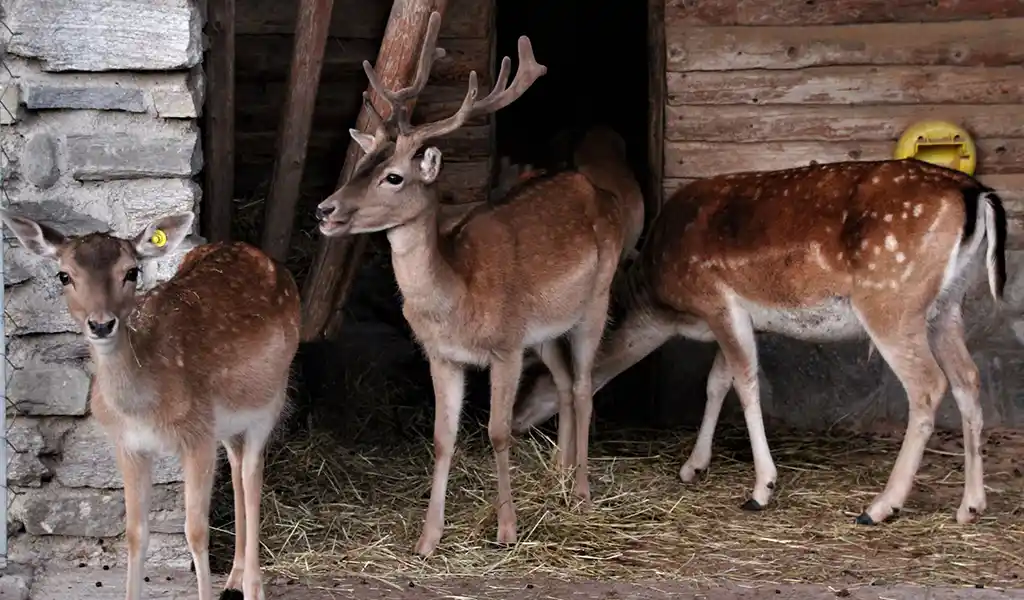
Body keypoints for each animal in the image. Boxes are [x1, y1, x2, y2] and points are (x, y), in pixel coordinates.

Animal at [0, 210, 301, 600]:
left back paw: (253, 587)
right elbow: (135, 533)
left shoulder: (198, 435)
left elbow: (196, 531)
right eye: (64, 275)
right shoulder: (128, 445)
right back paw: (233, 579)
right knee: (237, 468)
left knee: (252, 473)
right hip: (229, 424)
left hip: (271, 399)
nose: (101, 324)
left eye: (131, 272)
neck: (143, 409)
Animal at [313, 11, 644, 556]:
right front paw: (427, 539)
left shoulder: (506, 346)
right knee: (561, 380)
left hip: (596, 300)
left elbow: (497, 432)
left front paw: (507, 530)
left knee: (583, 384)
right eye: (361, 165)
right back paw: (558, 474)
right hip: (545, 329)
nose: (325, 210)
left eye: (394, 177)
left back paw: (580, 492)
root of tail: (595, 189)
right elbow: (442, 437)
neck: (457, 299)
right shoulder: (441, 355)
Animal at [511, 158, 1007, 527]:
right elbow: (716, 383)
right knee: (968, 379)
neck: (667, 307)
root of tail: (975, 194)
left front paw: (761, 489)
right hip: (948, 305)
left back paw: (881, 507)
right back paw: (970, 506)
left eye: (533, 372)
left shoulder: (717, 301)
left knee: (928, 386)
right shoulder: (737, 318)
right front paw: (693, 467)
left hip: (892, 301)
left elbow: (746, 385)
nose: (512, 421)